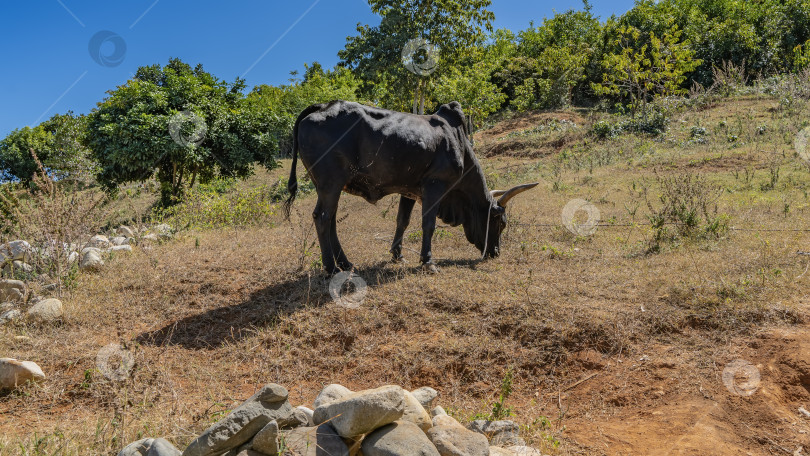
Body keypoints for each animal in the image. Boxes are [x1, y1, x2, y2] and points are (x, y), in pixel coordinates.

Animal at [284, 101, 536, 272]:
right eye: (500, 222)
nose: (495, 253)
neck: (458, 143)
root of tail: (322, 107)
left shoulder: (409, 191)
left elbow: (402, 221)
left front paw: (397, 255)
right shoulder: (435, 186)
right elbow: (428, 224)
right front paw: (428, 261)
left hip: (330, 187)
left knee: (331, 220)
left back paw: (346, 263)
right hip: (331, 184)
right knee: (322, 218)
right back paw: (331, 267)